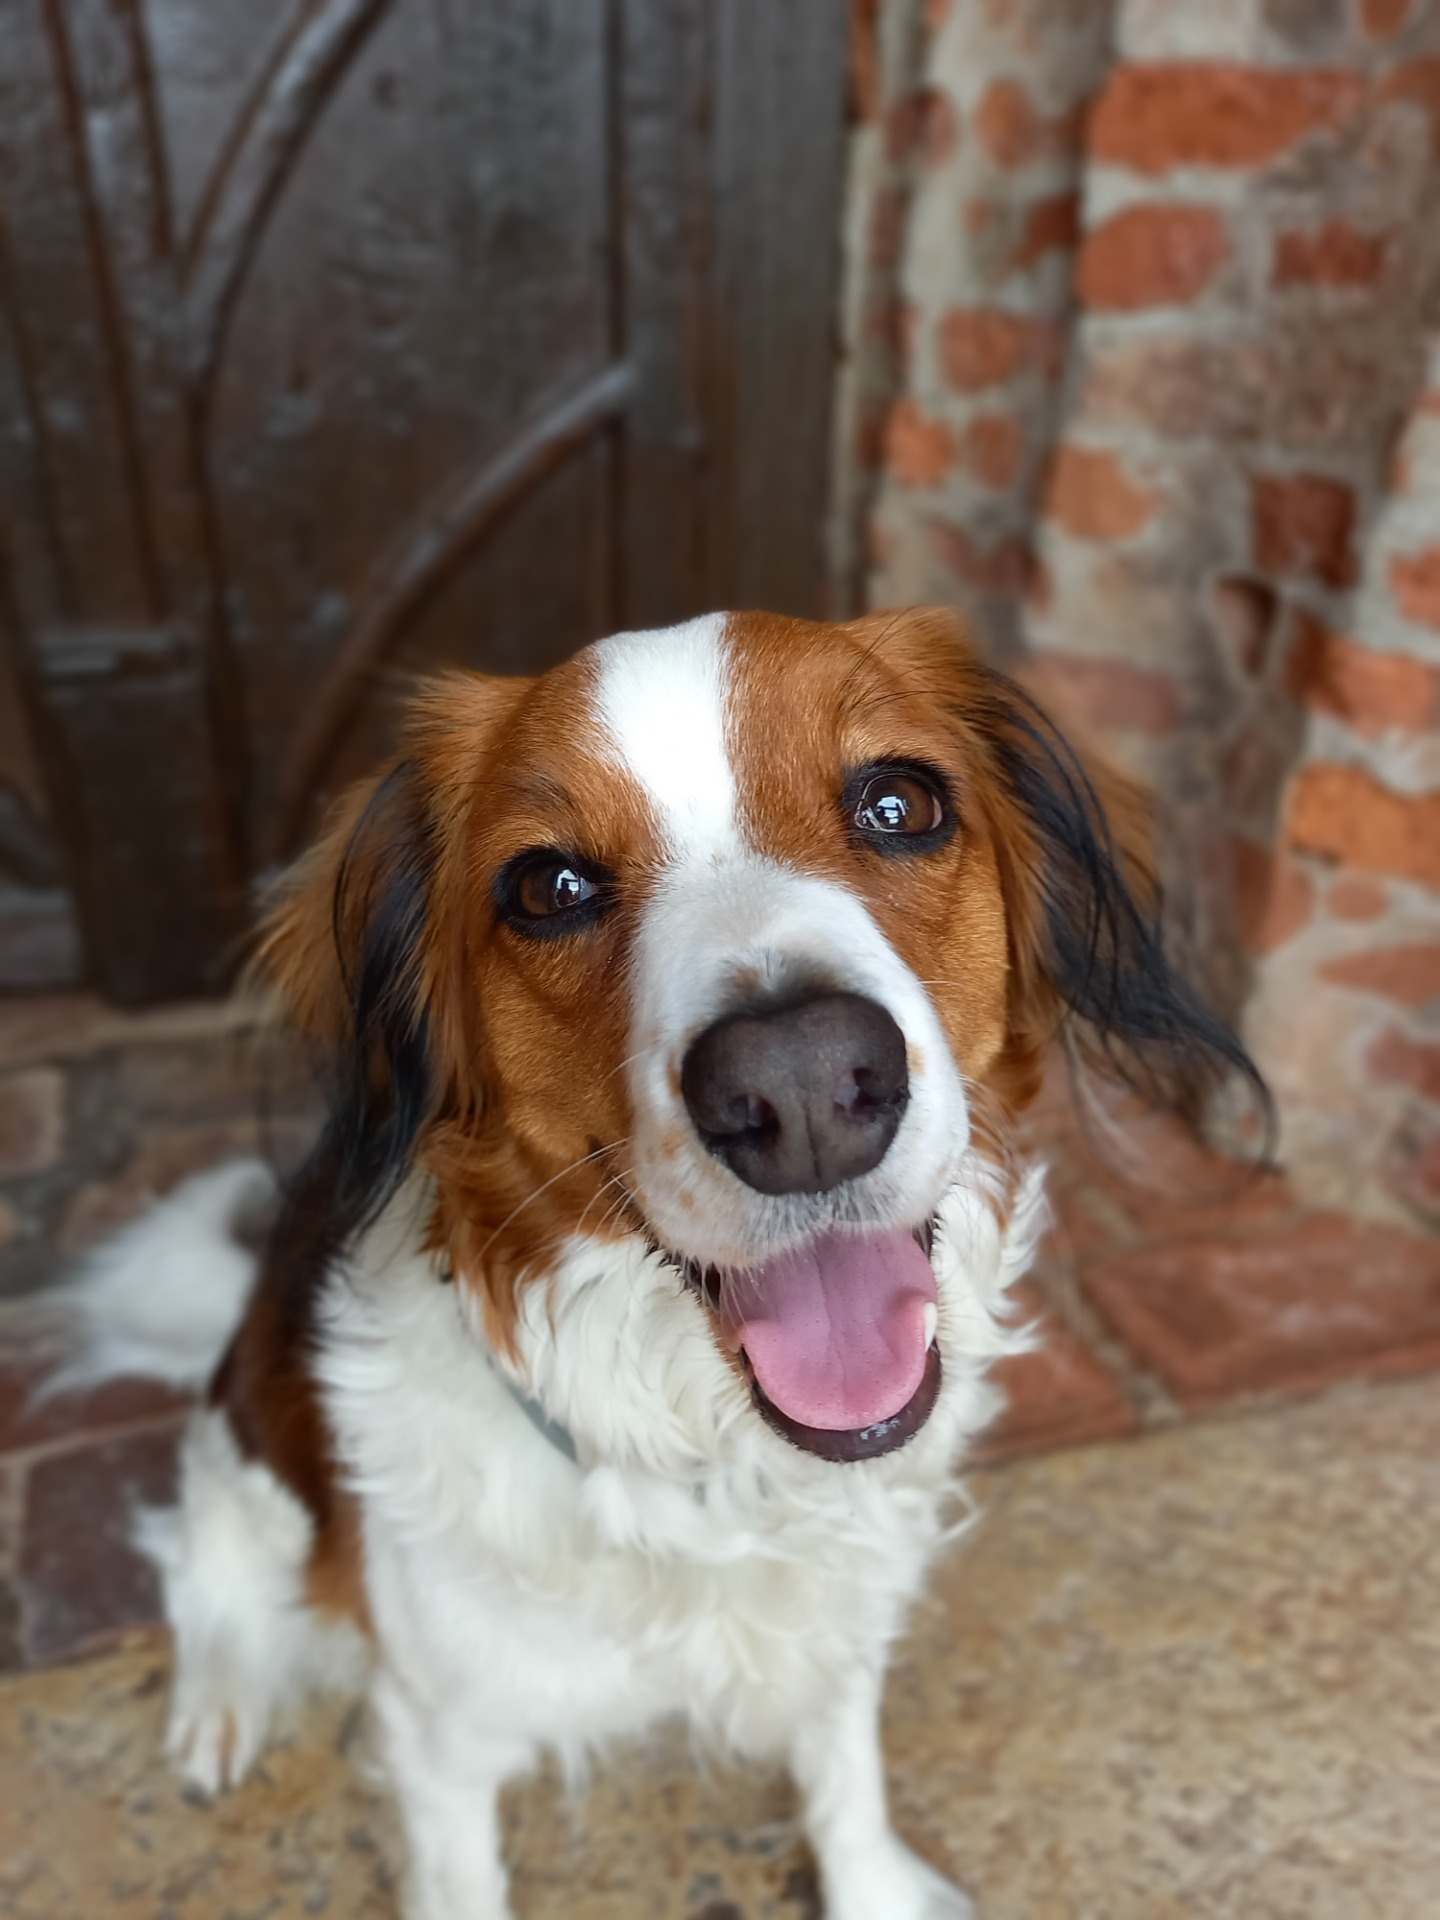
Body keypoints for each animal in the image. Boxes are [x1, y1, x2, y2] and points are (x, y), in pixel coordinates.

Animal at [63, 607, 1260, 1919]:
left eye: (900, 803)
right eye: (549, 887)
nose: (801, 1088)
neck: (718, 1472)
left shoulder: (839, 1629)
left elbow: (845, 1774)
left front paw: (869, 1883)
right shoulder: (437, 1734)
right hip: (248, 1465)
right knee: (207, 1568)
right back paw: (222, 1698)